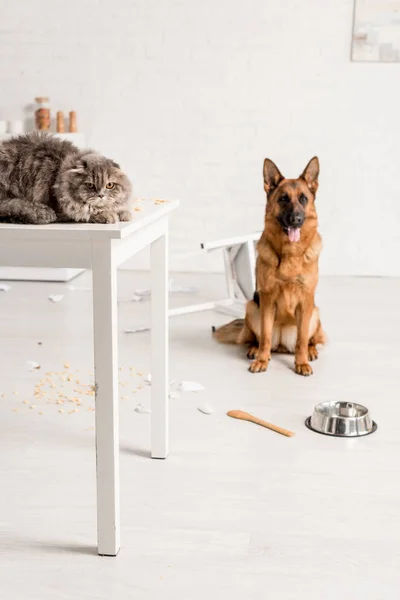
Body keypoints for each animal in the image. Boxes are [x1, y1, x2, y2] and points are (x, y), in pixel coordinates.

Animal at [0, 132, 133, 224]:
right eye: (90, 185)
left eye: (109, 185)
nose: (101, 195)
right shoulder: (62, 210)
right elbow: (87, 212)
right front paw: (108, 215)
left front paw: (124, 213)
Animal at [214, 157, 324, 378]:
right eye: (283, 199)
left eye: (303, 199)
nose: (296, 220)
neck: (290, 253)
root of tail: (281, 344)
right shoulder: (267, 299)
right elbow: (264, 335)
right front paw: (262, 361)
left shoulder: (305, 300)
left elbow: (301, 340)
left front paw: (301, 362)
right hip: (252, 307)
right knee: (258, 338)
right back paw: (255, 350)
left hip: (315, 312)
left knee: (309, 339)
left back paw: (310, 351)